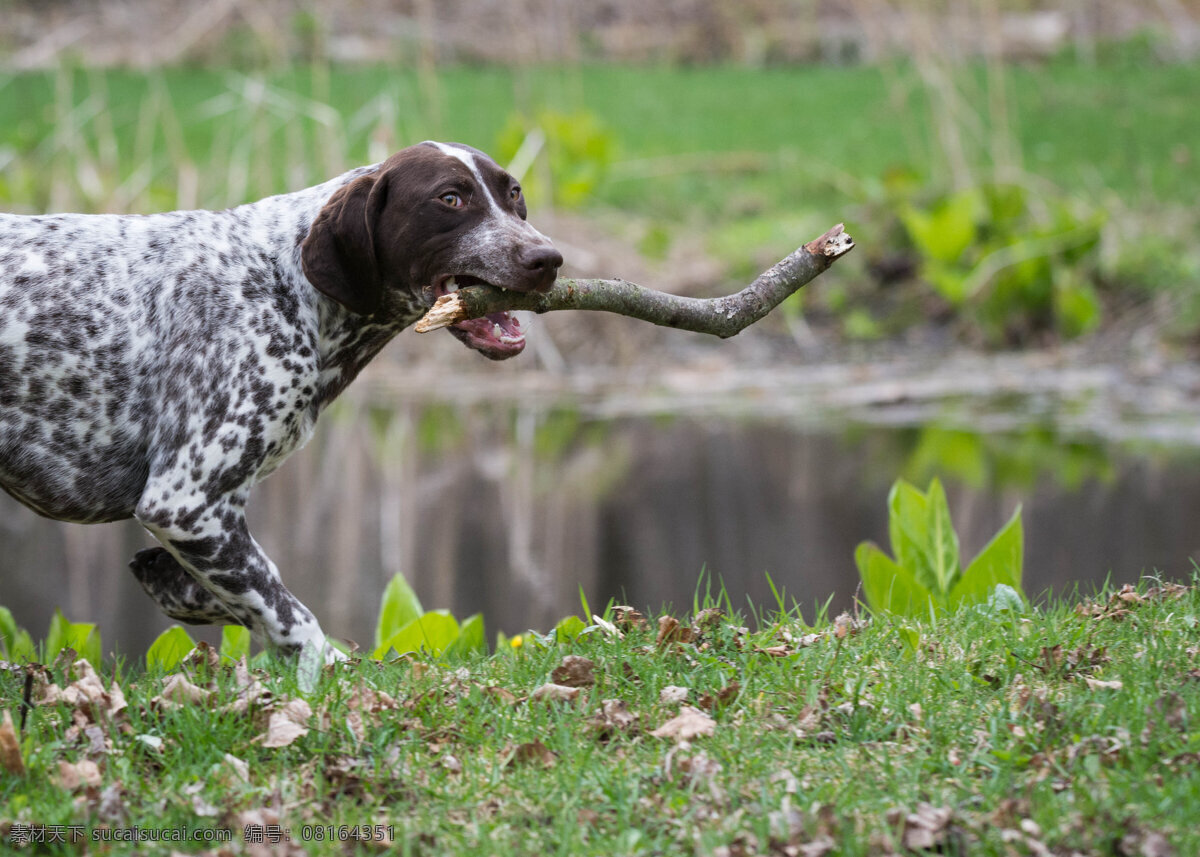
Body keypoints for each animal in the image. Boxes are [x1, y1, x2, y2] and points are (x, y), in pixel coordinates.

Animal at [0, 143, 561, 657]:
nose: (549, 259)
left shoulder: (212, 520)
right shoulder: (186, 502)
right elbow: (295, 620)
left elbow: (243, 590)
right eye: (450, 198)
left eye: (514, 193)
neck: (285, 283)